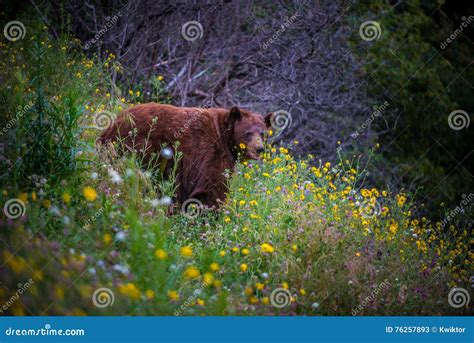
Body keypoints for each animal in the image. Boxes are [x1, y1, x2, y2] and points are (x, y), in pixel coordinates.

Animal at [98, 103, 272, 208]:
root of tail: (114, 123)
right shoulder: (210, 151)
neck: (224, 136)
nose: (259, 149)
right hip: (142, 148)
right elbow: (212, 186)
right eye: (248, 133)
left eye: (262, 133)